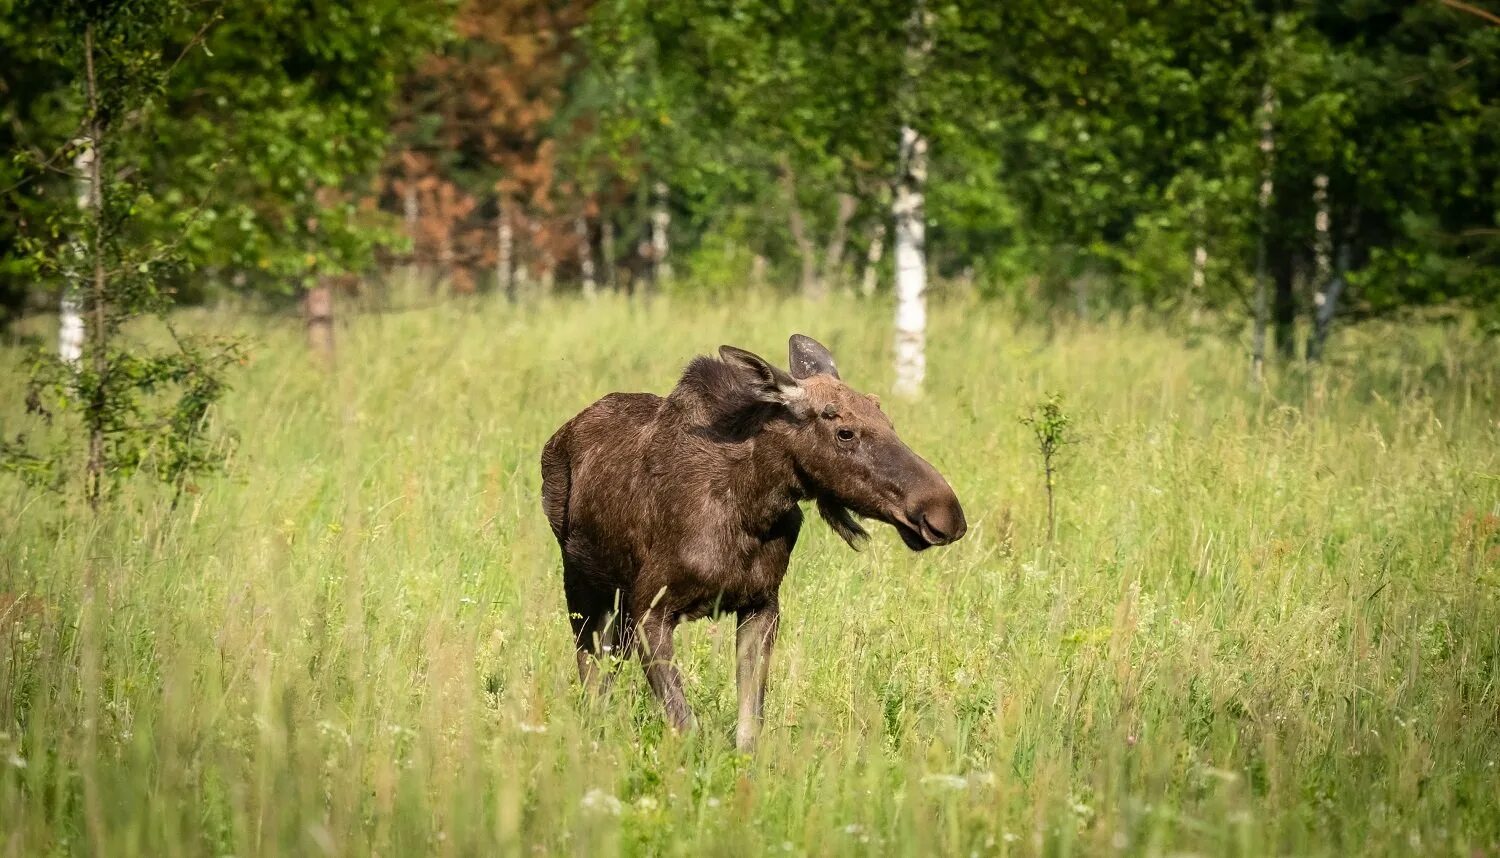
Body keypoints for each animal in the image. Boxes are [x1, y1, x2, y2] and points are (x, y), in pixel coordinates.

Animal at [546, 331, 966, 747]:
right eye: (844, 432)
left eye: (887, 420)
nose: (946, 513)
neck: (752, 506)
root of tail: (560, 435)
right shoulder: (649, 606)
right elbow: (685, 723)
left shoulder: (761, 605)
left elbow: (750, 726)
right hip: (582, 587)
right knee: (592, 675)